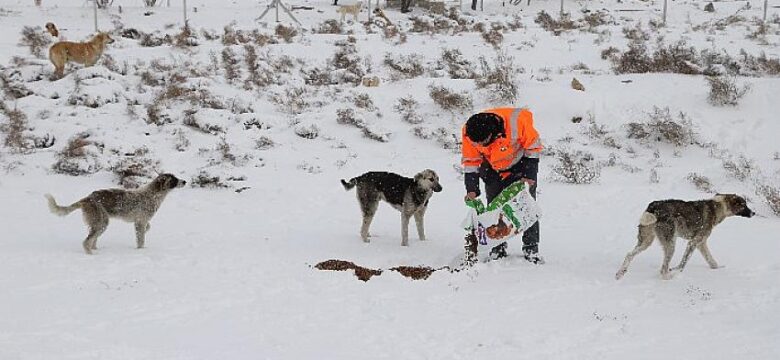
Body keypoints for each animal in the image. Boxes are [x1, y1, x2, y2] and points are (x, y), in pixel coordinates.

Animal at [46, 174, 186, 253]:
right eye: (174, 180)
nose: (184, 181)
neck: (153, 194)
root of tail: (87, 198)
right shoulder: (140, 222)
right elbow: (141, 239)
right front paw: (141, 251)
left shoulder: (141, 222)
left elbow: (147, 228)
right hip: (101, 222)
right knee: (87, 242)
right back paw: (90, 254)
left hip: (100, 224)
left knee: (93, 240)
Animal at [616, 194, 756, 282]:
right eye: (744, 205)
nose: (754, 213)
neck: (718, 207)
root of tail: (653, 206)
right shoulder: (693, 242)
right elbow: (683, 262)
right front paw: (677, 272)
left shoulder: (701, 244)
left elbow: (711, 260)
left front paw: (718, 269)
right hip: (670, 244)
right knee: (663, 268)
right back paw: (669, 278)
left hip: (646, 241)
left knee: (629, 254)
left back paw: (620, 273)